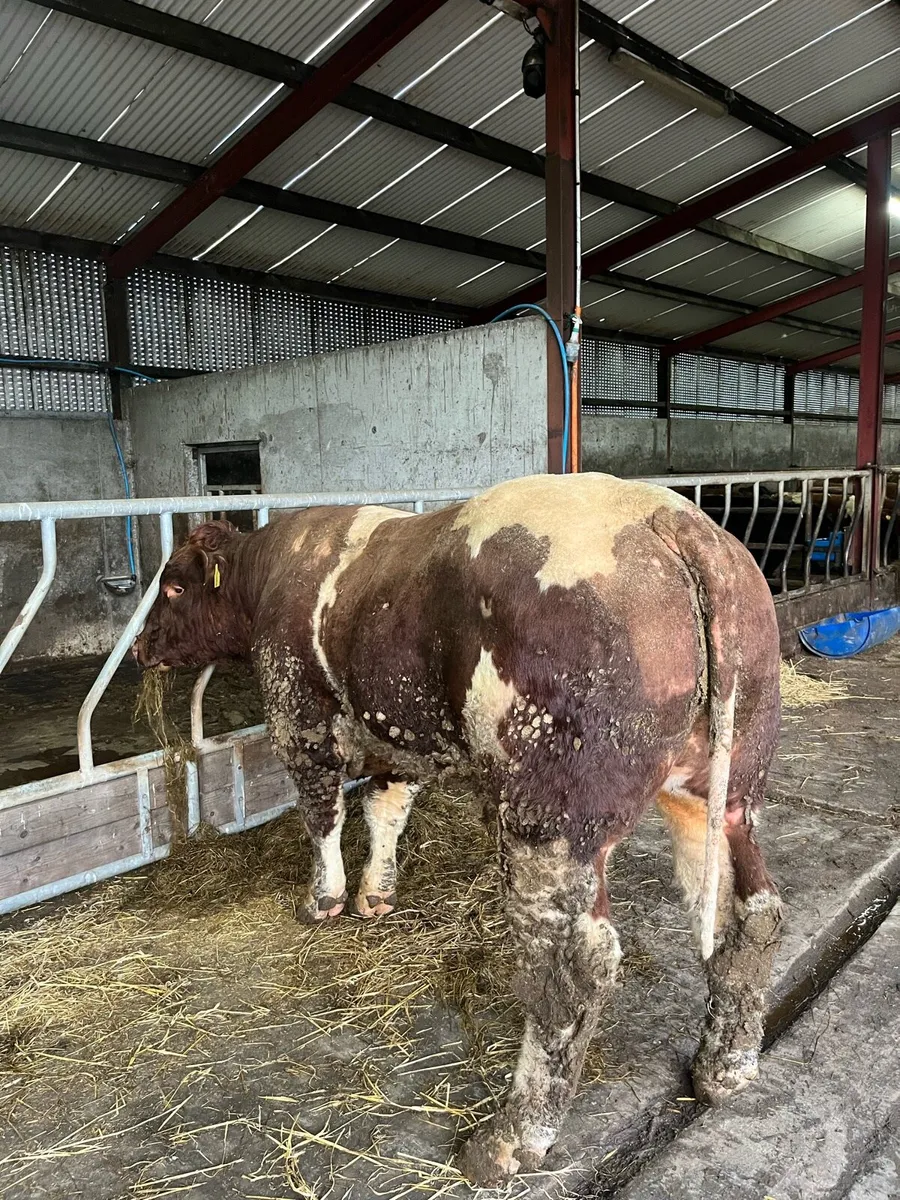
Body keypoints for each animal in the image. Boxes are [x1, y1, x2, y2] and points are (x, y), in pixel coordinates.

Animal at [133, 472, 783, 1187]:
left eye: (172, 586)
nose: (139, 647)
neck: (273, 572)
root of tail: (672, 519)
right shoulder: (396, 730)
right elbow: (385, 808)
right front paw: (376, 895)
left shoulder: (300, 721)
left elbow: (323, 814)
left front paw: (321, 900)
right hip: (721, 791)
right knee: (750, 911)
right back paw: (726, 1066)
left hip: (550, 816)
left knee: (574, 967)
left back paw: (508, 1140)